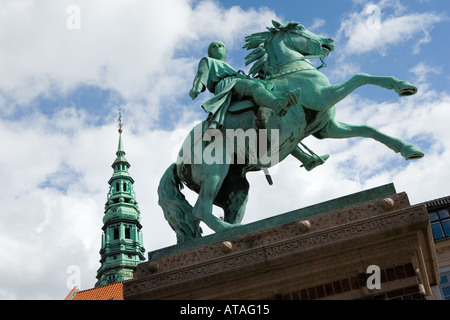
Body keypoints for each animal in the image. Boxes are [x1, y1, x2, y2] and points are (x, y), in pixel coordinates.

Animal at [157, 21, 422, 244]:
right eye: (300, 28)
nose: (329, 40)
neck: (295, 71)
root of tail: (177, 161)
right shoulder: (324, 96)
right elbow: (361, 76)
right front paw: (402, 86)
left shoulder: (327, 128)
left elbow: (369, 129)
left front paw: (408, 149)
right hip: (215, 169)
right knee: (201, 208)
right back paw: (230, 233)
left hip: (236, 189)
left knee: (219, 210)